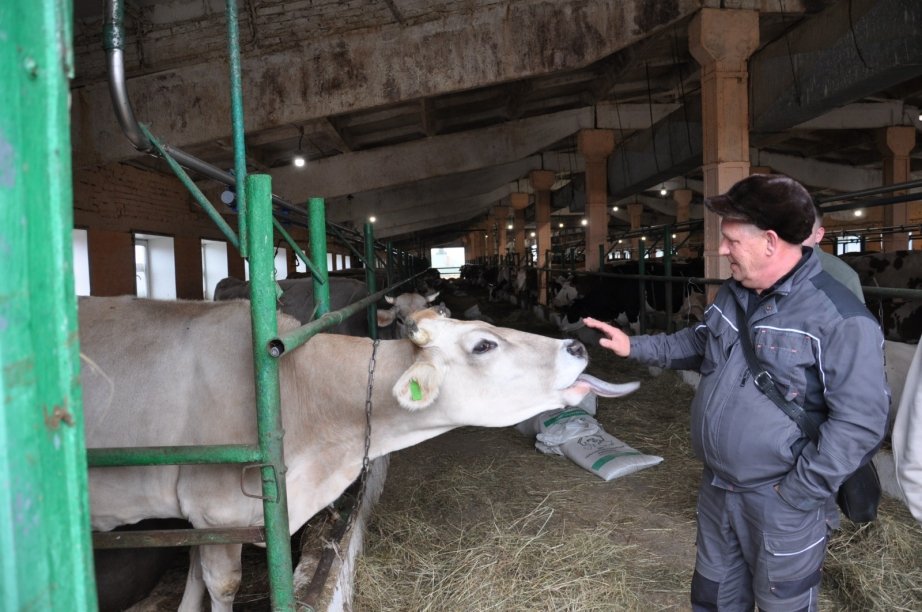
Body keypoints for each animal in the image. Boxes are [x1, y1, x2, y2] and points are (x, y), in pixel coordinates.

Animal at [81, 298, 640, 612]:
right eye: (484, 345)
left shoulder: (204, 517)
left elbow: (195, 576)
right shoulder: (218, 509)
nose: (576, 347)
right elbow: (220, 584)